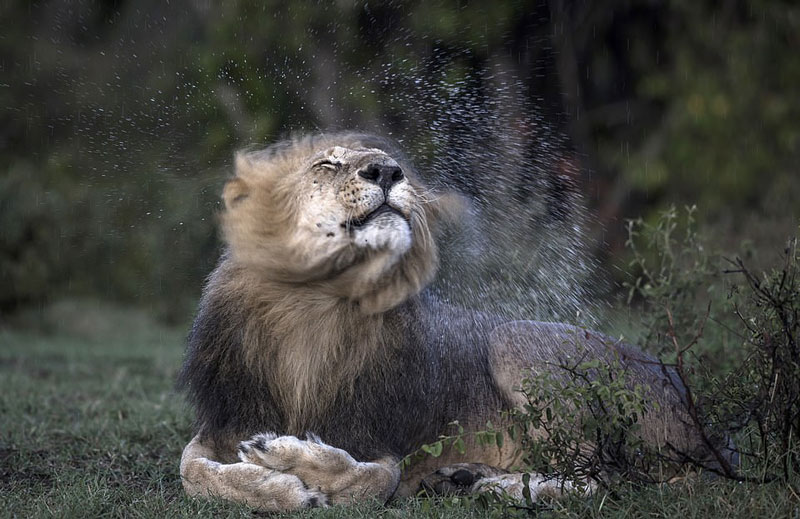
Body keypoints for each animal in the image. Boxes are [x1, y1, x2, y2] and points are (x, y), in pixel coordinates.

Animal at [178, 133, 736, 512]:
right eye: (326, 163)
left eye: (386, 162)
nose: (388, 171)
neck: (313, 303)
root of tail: (707, 428)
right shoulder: (225, 418)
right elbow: (191, 469)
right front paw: (270, 487)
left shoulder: (380, 438)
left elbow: (373, 481)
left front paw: (286, 464)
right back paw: (464, 478)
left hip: (513, 340)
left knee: (604, 476)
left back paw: (494, 486)